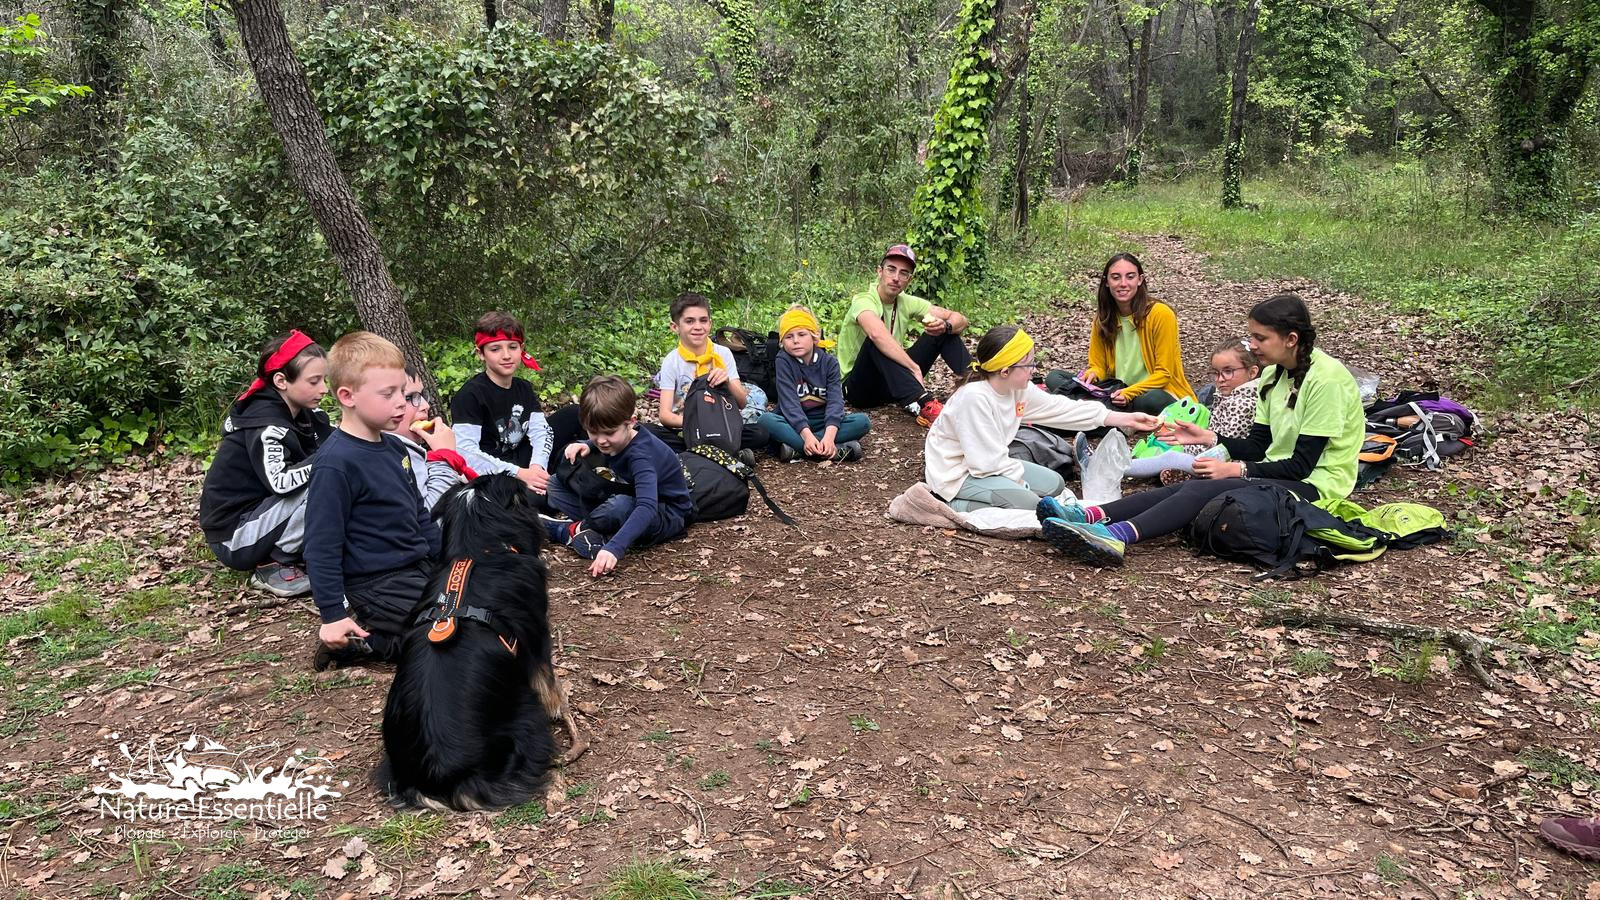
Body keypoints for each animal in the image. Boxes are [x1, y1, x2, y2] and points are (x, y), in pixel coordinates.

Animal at [377, 473, 586, 811]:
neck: (479, 550)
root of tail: (444, 780)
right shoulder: (537, 635)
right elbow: (548, 679)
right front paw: (559, 703)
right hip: (527, 719)